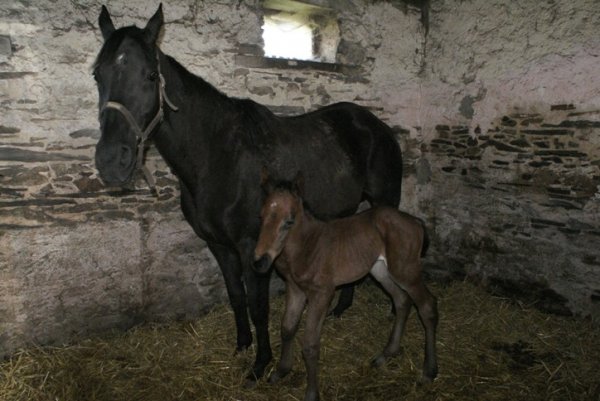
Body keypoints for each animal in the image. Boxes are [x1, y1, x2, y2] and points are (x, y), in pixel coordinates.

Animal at [94, 4, 404, 380]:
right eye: (97, 75)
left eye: (151, 76)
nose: (111, 161)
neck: (217, 155)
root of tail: (377, 127)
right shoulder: (218, 245)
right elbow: (236, 297)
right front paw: (242, 345)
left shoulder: (251, 246)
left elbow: (258, 306)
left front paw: (261, 363)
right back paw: (341, 309)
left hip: (385, 201)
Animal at [253, 173, 440, 400]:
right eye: (261, 217)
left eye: (289, 221)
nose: (260, 262)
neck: (306, 246)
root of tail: (415, 221)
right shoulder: (295, 289)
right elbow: (287, 328)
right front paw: (280, 372)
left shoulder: (322, 293)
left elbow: (310, 344)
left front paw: (312, 393)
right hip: (380, 269)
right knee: (402, 300)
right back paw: (386, 354)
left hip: (405, 270)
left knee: (427, 305)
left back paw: (428, 371)